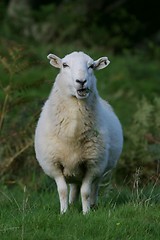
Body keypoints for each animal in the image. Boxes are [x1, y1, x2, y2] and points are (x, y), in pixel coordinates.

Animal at [34, 50, 123, 214]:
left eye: (91, 66)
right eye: (65, 65)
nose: (81, 81)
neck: (73, 134)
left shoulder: (93, 165)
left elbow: (86, 191)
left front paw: (86, 212)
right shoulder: (54, 165)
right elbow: (62, 190)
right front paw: (64, 212)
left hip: (101, 168)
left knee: (94, 187)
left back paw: (93, 204)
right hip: (73, 169)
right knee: (74, 187)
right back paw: (72, 203)